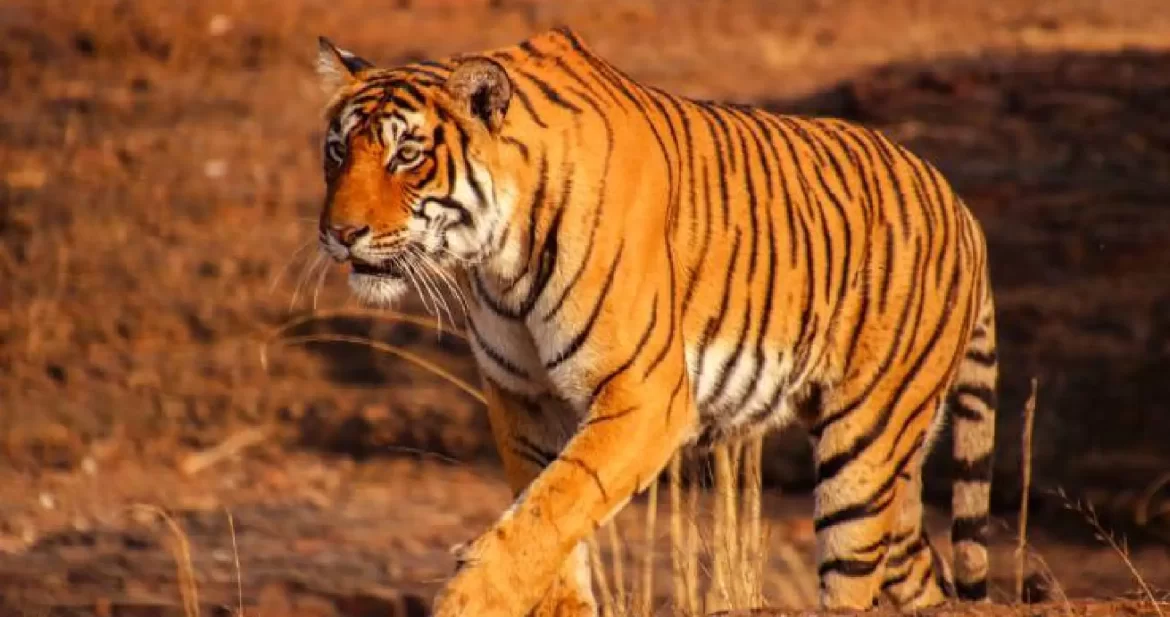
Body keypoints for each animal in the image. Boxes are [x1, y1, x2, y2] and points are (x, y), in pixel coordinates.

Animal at [313, 26, 997, 616]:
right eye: (339, 151)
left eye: (407, 155)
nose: (339, 235)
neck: (499, 260)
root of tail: (963, 209)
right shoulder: (521, 396)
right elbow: (543, 514)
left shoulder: (646, 396)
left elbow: (557, 503)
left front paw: (470, 597)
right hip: (893, 469)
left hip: (864, 445)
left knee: (853, 576)